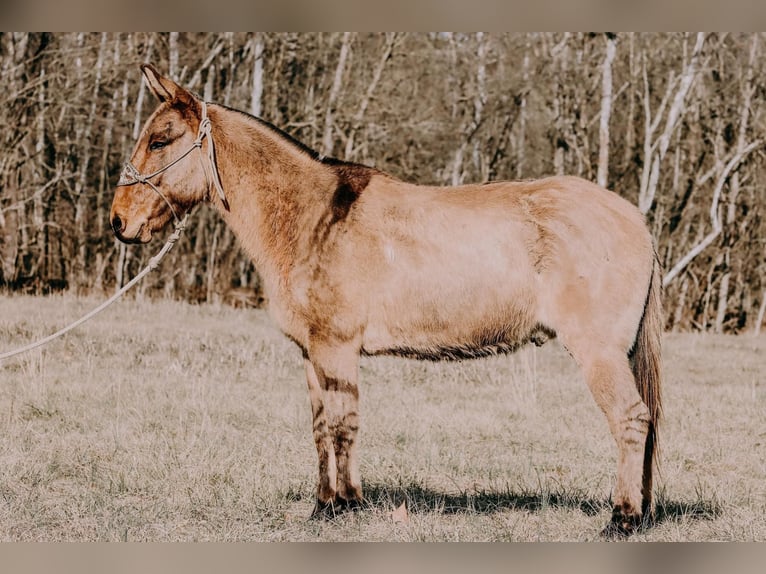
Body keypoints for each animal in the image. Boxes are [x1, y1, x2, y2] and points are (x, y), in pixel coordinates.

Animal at [109, 64, 664, 540]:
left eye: (160, 140)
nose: (118, 221)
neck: (314, 220)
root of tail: (635, 218)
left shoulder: (336, 350)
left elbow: (342, 425)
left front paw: (347, 506)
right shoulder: (311, 354)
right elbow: (320, 427)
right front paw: (325, 505)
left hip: (599, 353)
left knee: (631, 421)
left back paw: (622, 518)